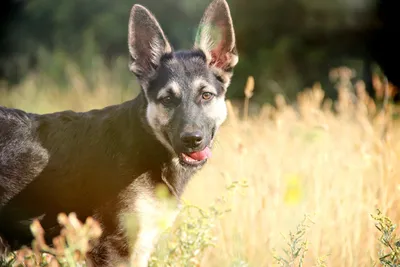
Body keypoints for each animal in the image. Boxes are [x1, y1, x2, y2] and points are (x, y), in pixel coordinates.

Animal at [0, 1, 238, 266]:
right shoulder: (114, 249)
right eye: (167, 99)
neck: (149, 144)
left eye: (206, 96)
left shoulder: (140, 247)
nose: (192, 139)